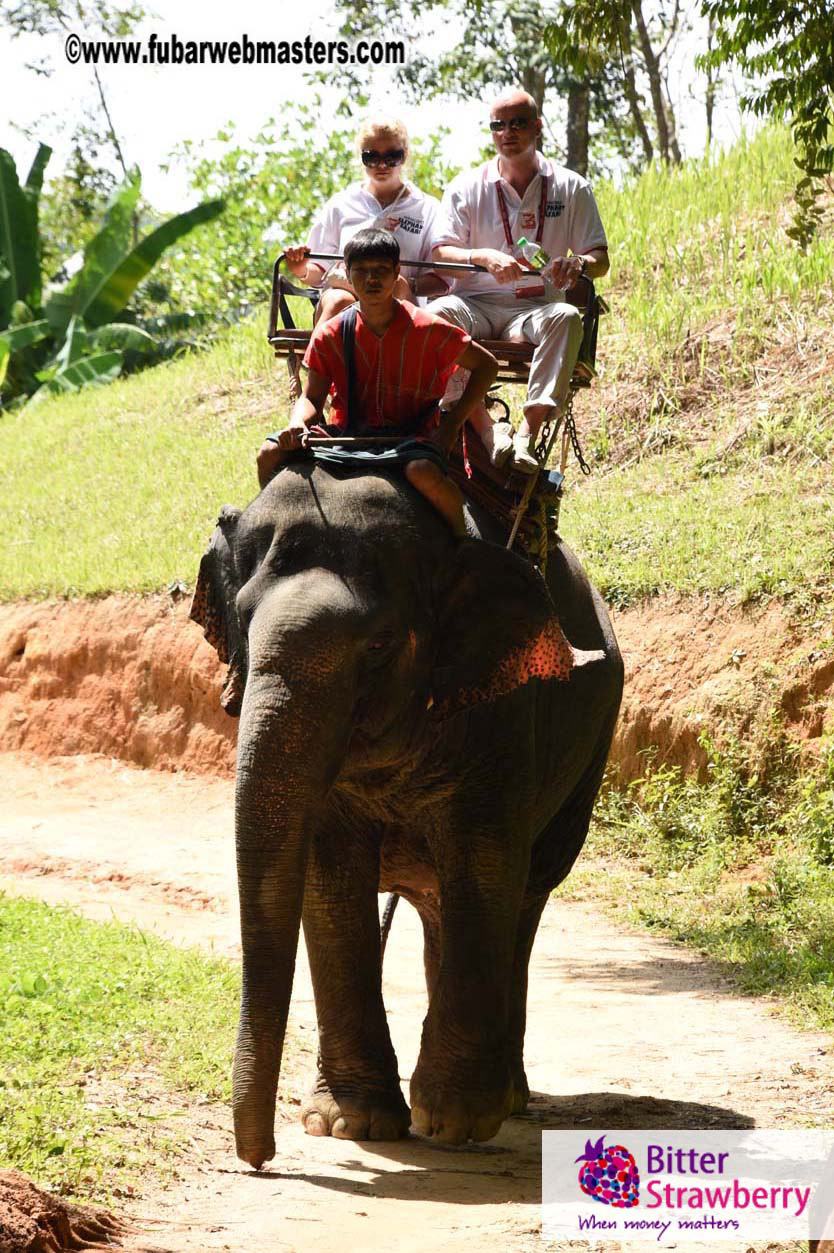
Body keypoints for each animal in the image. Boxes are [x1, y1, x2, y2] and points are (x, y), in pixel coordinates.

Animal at [190, 456, 623, 1170]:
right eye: (242, 630)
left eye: (379, 646)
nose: (259, 1160)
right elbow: (330, 881)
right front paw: (351, 1124)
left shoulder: (504, 709)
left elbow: (483, 865)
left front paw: (453, 1122)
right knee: (443, 909)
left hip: (591, 753)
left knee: (524, 895)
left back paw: (504, 1101)